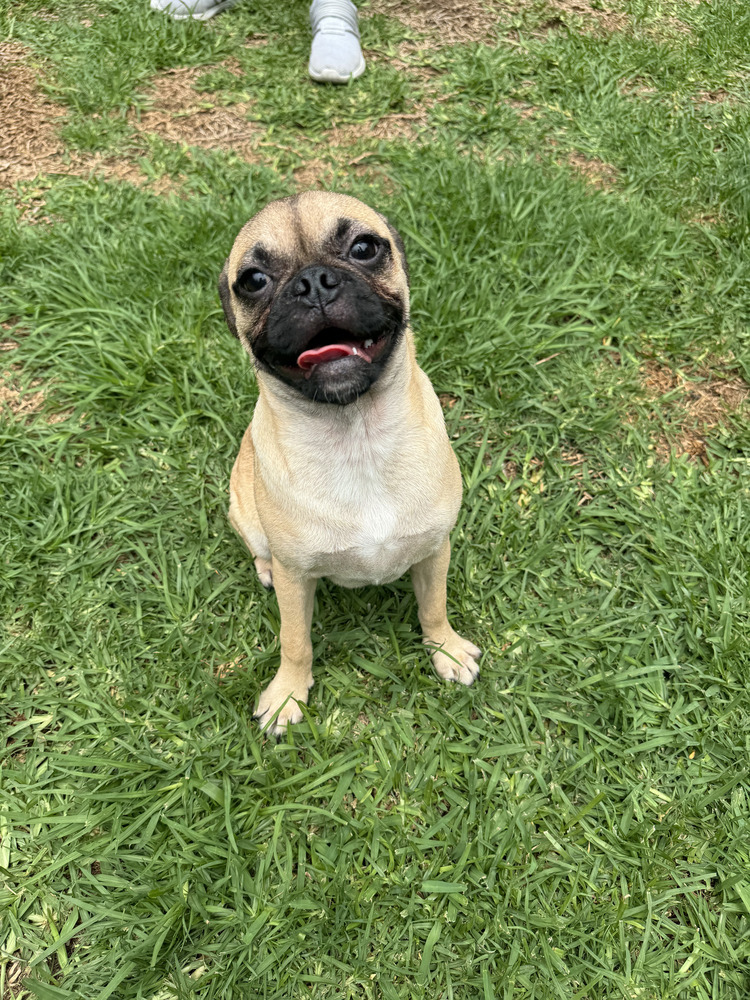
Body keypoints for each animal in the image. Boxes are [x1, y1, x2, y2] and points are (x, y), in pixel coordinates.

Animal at [220, 191, 482, 736]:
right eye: (253, 280)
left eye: (364, 248)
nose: (313, 281)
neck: (355, 435)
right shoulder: (297, 577)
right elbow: (295, 641)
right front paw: (287, 694)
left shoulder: (434, 551)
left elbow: (434, 607)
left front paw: (444, 650)